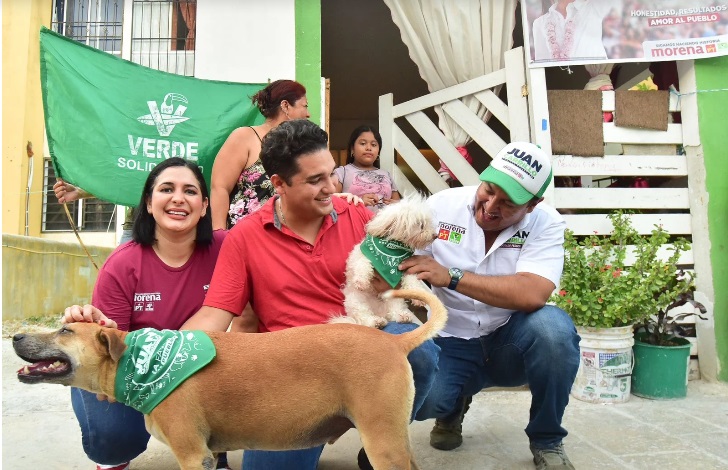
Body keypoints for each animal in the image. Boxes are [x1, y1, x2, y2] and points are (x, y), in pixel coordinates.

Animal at [12, 288, 444, 468]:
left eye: (65, 331)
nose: (15, 337)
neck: (145, 361)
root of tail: (394, 343)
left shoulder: (192, 455)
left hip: (383, 443)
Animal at [332, 193, 438, 328]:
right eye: (421, 225)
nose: (435, 235)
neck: (392, 249)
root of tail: (379, 312)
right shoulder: (361, 256)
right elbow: (362, 265)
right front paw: (361, 281)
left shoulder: (407, 268)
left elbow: (413, 282)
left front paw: (418, 297)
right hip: (355, 300)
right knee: (363, 317)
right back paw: (375, 322)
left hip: (393, 297)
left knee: (394, 311)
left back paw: (401, 316)